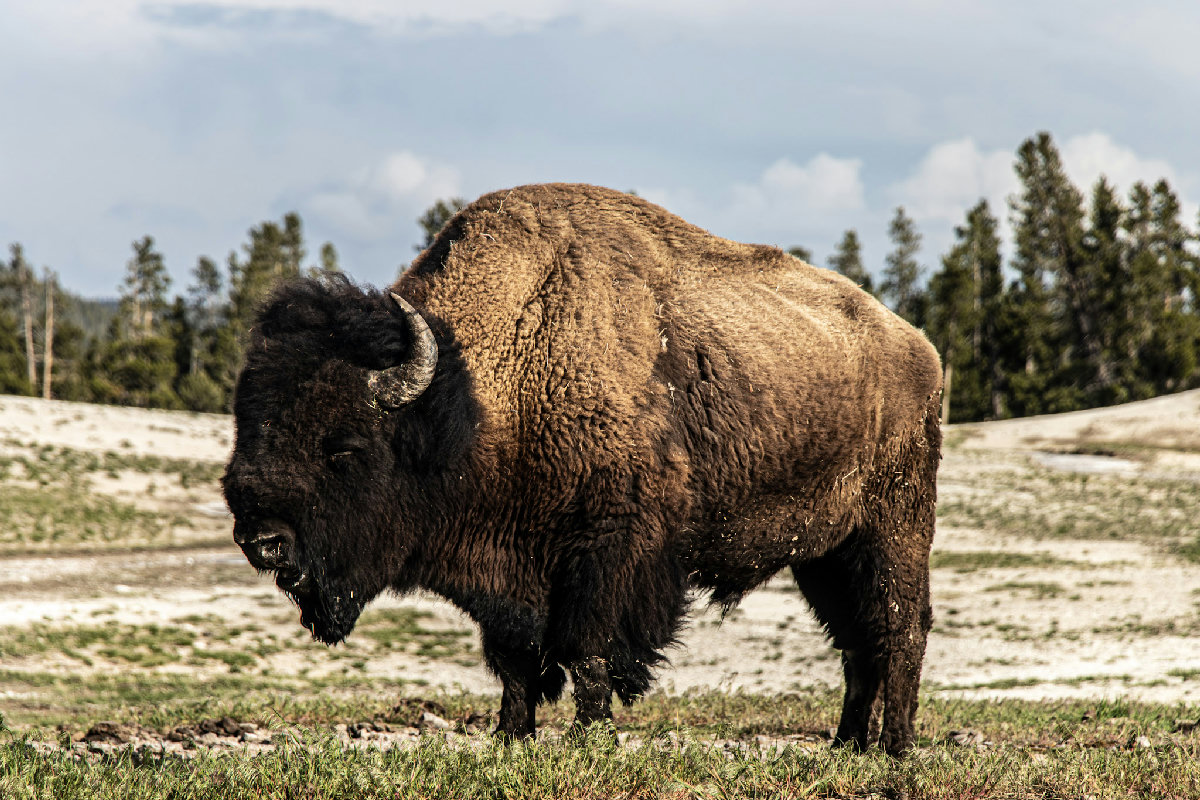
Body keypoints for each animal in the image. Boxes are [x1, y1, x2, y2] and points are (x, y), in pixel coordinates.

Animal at [223, 183, 942, 755]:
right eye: (246, 428)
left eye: (343, 447)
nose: (262, 541)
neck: (479, 394)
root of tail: (918, 345)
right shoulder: (508, 576)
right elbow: (515, 663)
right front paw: (510, 740)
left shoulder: (605, 554)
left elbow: (587, 654)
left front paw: (589, 740)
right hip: (822, 554)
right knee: (857, 643)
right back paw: (847, 745)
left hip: (893, 527)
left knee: (899, 628)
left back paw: (895, 749)